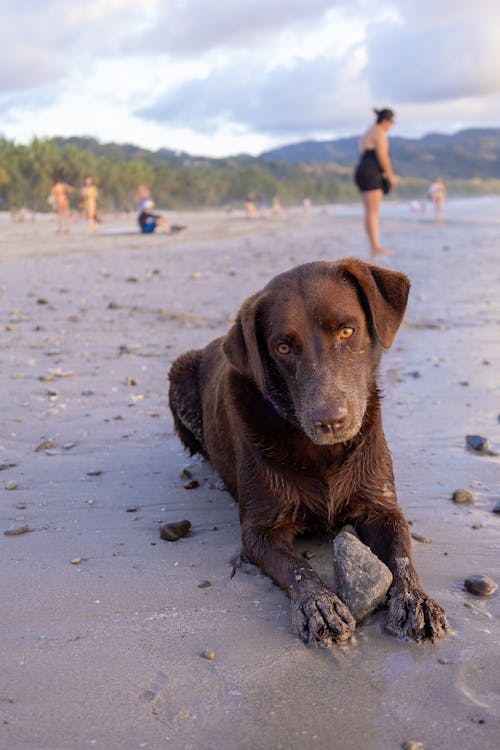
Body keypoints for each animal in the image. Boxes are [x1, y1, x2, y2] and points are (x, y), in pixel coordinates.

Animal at [169, 258, 450, 648]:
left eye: (347, 331)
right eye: (283, 347)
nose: (331, 421)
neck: (323, 453)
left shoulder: (382, 507)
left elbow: (402, 555)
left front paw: (414, 599)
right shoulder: (260, 529)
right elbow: (297, 568)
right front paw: (318, 605)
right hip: (178, 374)